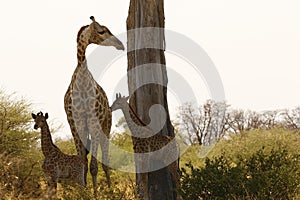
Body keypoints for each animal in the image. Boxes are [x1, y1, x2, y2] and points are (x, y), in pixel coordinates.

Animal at [63, 16, 123, 192]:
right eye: (101, 31)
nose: (120, 44)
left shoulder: (93, 121)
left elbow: (94, 166)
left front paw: (96, 194)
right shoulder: (75, 123)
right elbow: (82, 162)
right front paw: (83, 193)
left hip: (106, 126)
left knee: (105, 162)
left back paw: (110, 191)